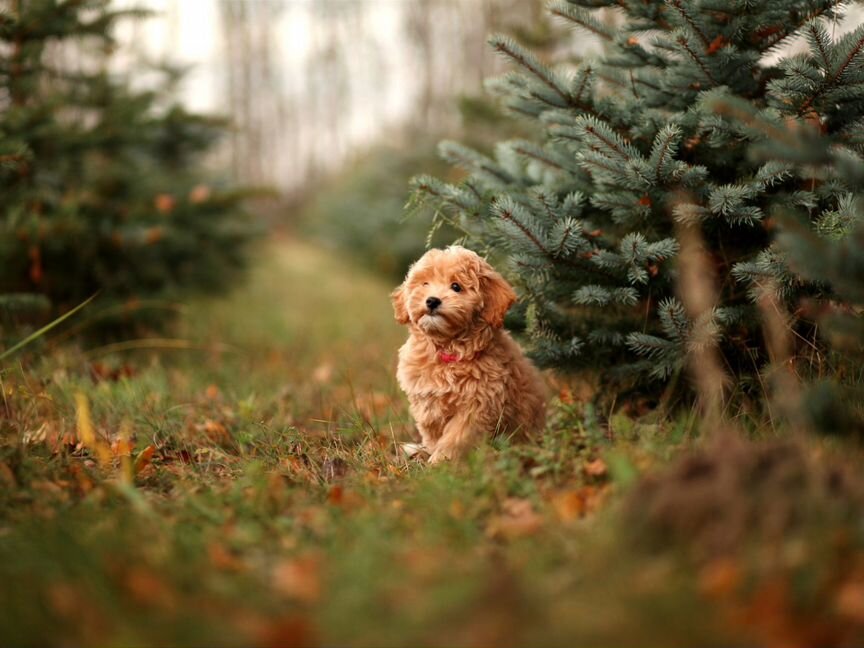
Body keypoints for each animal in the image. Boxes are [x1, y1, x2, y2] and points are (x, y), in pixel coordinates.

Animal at [394, 246, 548, 464]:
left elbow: (456, 437)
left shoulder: (477, 407)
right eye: (425, 283)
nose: (432, 300)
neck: (448, 350)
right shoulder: (427, 403)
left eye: (456, 287)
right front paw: (432, 456)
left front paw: (441, 463)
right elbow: (433, 432)